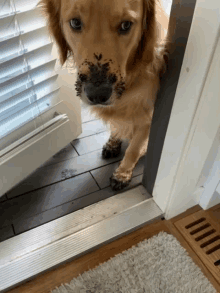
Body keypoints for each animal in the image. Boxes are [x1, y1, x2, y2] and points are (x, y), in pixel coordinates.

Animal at [40, 0, 169, 190]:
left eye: (126, 25)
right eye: (75, 23)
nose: (97, 95)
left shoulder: (148, 118)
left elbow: (133, 150)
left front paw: (122, 174)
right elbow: (117, 125)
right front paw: (113, 142)